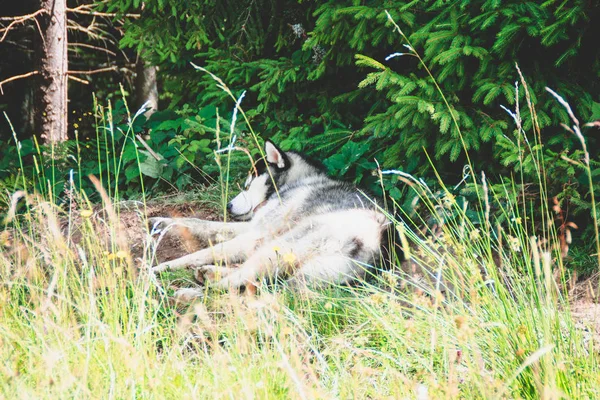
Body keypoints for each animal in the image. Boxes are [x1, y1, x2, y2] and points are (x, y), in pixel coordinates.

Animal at [151, 141, 404, 290]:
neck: (298, 181)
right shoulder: (251, 227)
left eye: (248, 183)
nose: (230, 206)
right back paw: (209, 274)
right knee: (255, 277)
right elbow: (199, 223)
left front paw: (166, 265)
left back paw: (196, 290)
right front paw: (161, 222)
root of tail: (380, 243)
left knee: (238, 281)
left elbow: (204, 246)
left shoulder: (256, 232)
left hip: (283, 244)